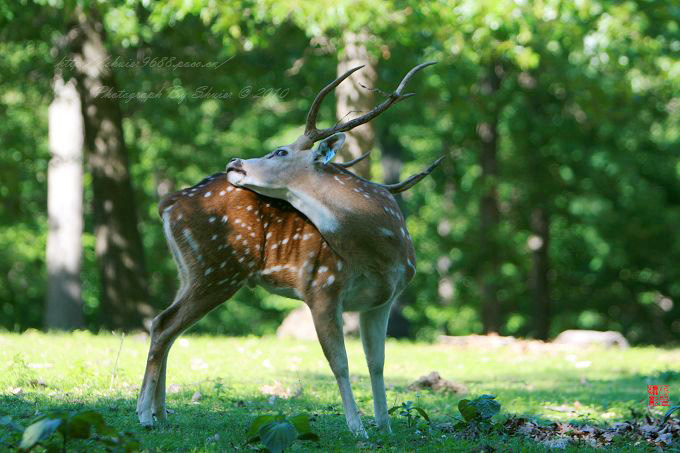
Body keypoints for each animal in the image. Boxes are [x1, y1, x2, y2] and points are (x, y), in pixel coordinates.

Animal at [138, 61, 440, 436]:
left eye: (281, 150)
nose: (234, 163)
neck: (381, 252)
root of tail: (168, 203)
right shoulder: (321, 287)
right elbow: (340, 363)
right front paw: (358, 429)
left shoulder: (382, 300)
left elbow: (377, 362)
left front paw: (385, 427)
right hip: (218, 269)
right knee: (164, 324)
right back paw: (144, 414)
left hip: (191, 269)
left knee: (164, 325)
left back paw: (162, 414)